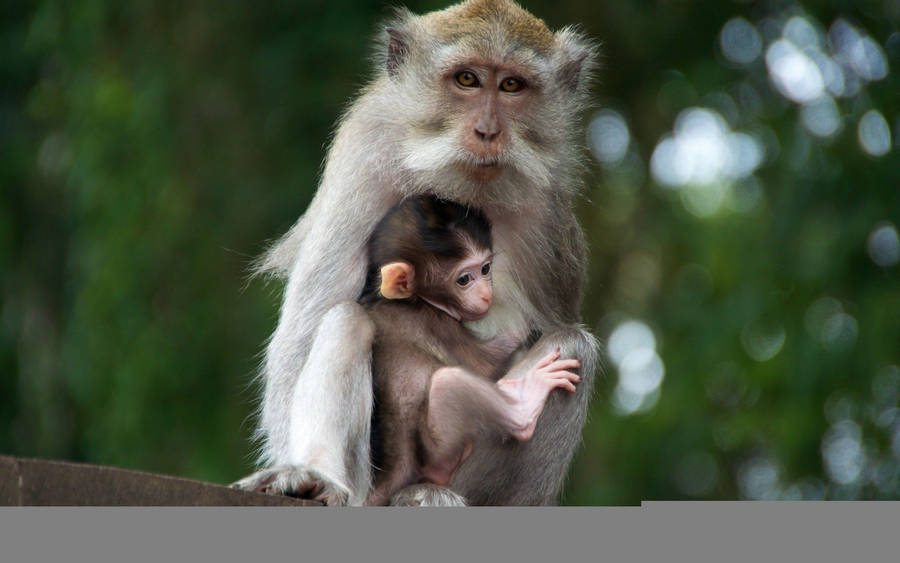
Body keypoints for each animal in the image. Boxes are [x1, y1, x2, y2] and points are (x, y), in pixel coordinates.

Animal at [360, 195, 581, 506]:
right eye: (464, 279)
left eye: (485, 269)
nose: (486, 295)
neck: (413, 300)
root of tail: (395, 471)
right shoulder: (438, 324)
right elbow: (485, 363)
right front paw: (520, 326)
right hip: (438, 453)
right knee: (448, 382)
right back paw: (525, 403)